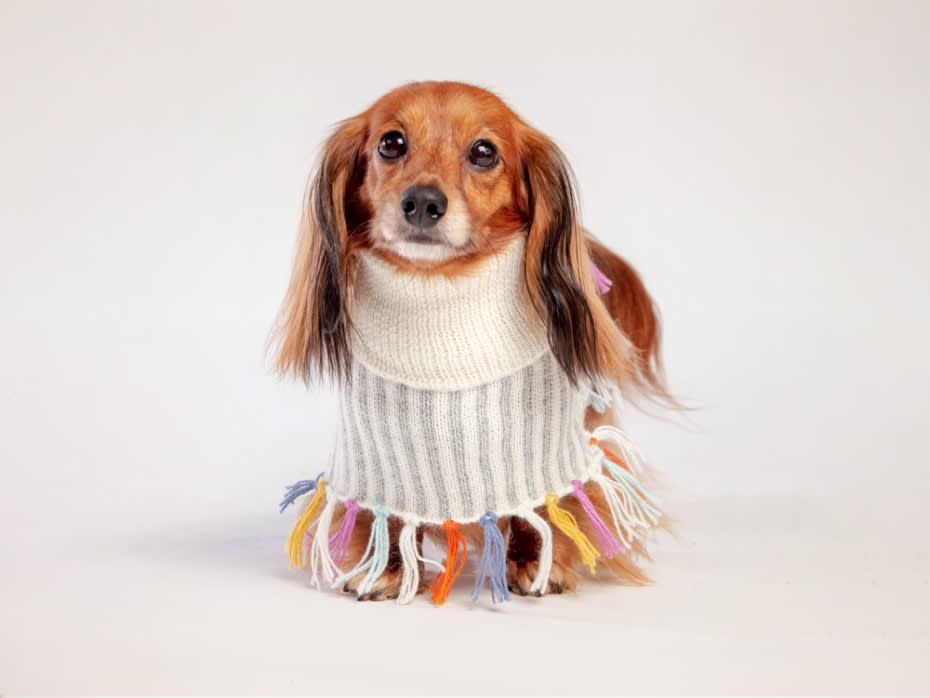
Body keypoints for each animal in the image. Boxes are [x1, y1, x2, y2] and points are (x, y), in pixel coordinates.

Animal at [272, 83, 664, 604]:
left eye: (484, 152)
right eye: (391, 143)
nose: (421, 202)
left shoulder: (546, 446)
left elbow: (546, 505)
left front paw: (537, 561)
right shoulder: (377, 452)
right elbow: (387, 514)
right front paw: (388, 568)